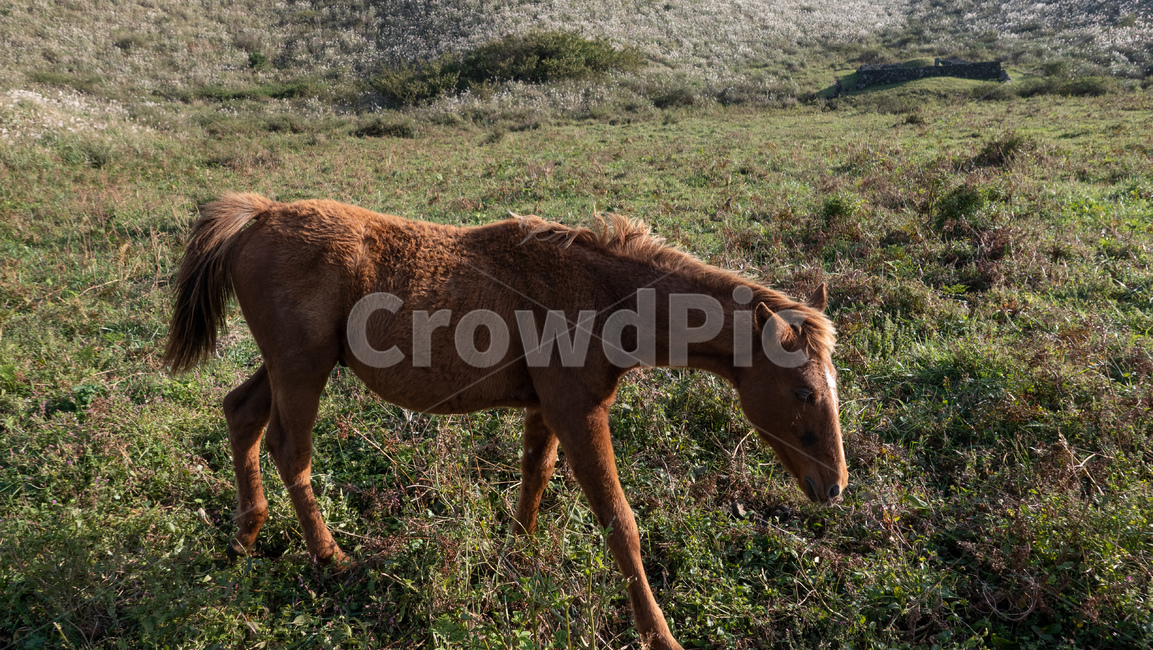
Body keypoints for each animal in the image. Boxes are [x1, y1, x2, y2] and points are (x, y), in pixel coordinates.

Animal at [164, 193, 846, 650]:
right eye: (804, 391)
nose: (834, 485)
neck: (599, 295)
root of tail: (261, 213)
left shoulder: (547, 409)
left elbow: (533, 477)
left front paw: (517, 558)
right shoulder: (579, 411)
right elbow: (619, 522)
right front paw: (660, 636)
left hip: (289, 366)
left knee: (241, 414)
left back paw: (246, 535)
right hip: (302, 370)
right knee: (289, 448)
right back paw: (330, 556)